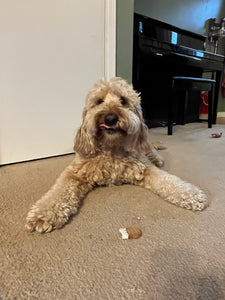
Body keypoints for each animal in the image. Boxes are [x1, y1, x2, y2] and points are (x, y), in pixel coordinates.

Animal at [25, 77, 208, 232]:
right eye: (99, 101)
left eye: (123, 101)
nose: (110, 118)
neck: (111, 147)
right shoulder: (75, 173)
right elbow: (59, 191)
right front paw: (43, 213)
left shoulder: (144, 168)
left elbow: (169, 181)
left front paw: (191, 194)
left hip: (146, 147)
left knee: (152, 151)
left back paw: (157, 158)